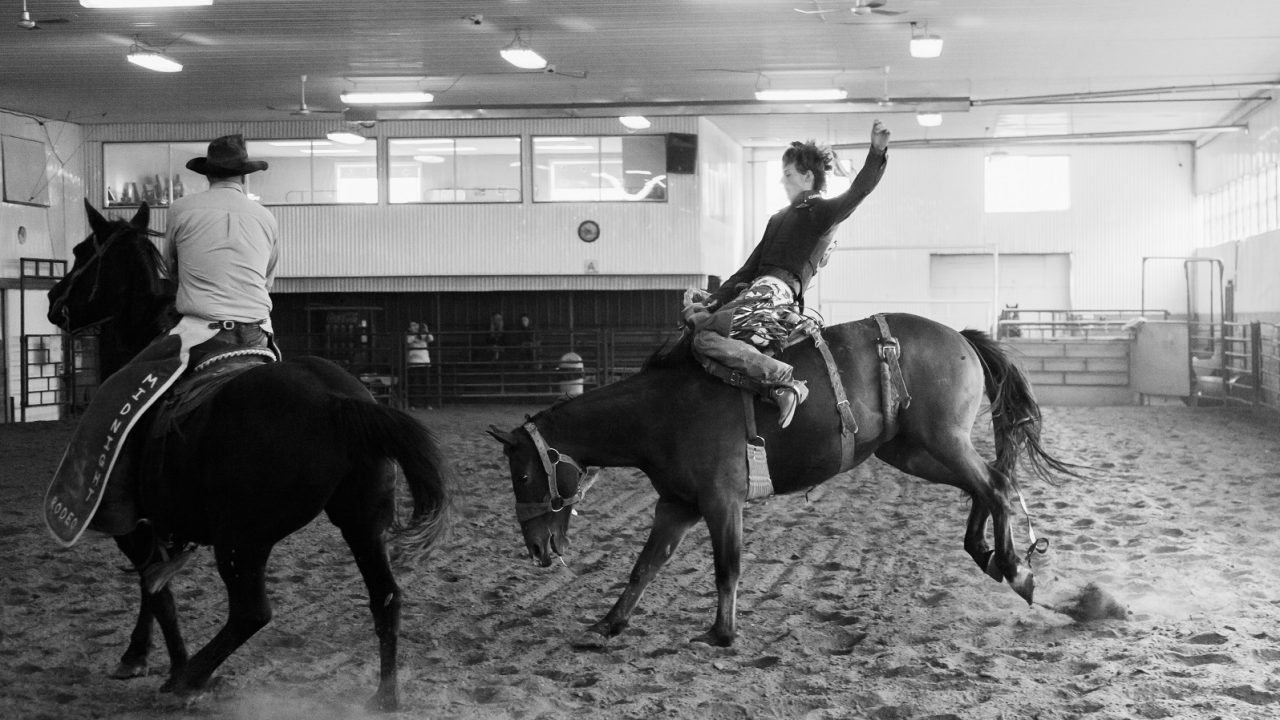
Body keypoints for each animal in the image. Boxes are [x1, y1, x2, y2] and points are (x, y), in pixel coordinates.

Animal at [45, 199, 453, 707]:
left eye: (81, 252)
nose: (52, 300)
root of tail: (337, 401)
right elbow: (156, 585)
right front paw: (140, 655)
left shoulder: (134, 526)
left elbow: (157, 592)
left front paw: (158, 662)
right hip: (361, 521)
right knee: (386, 597)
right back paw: (385, 697)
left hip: (243, 538)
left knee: (251, 612)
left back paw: (191, 678)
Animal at [488, 313, 1080, 645]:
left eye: (523, 473)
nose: (537, 548)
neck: (662, 412)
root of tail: (958, 336)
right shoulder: (675, 506)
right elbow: (644, 566)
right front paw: (609, 623)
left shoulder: (721, 502)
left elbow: (727, 567)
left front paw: (721, 634)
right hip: (914, 450)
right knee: (988, 483)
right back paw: (989, 555)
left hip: (940, 441)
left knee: (995, 485)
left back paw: (1015, 569)